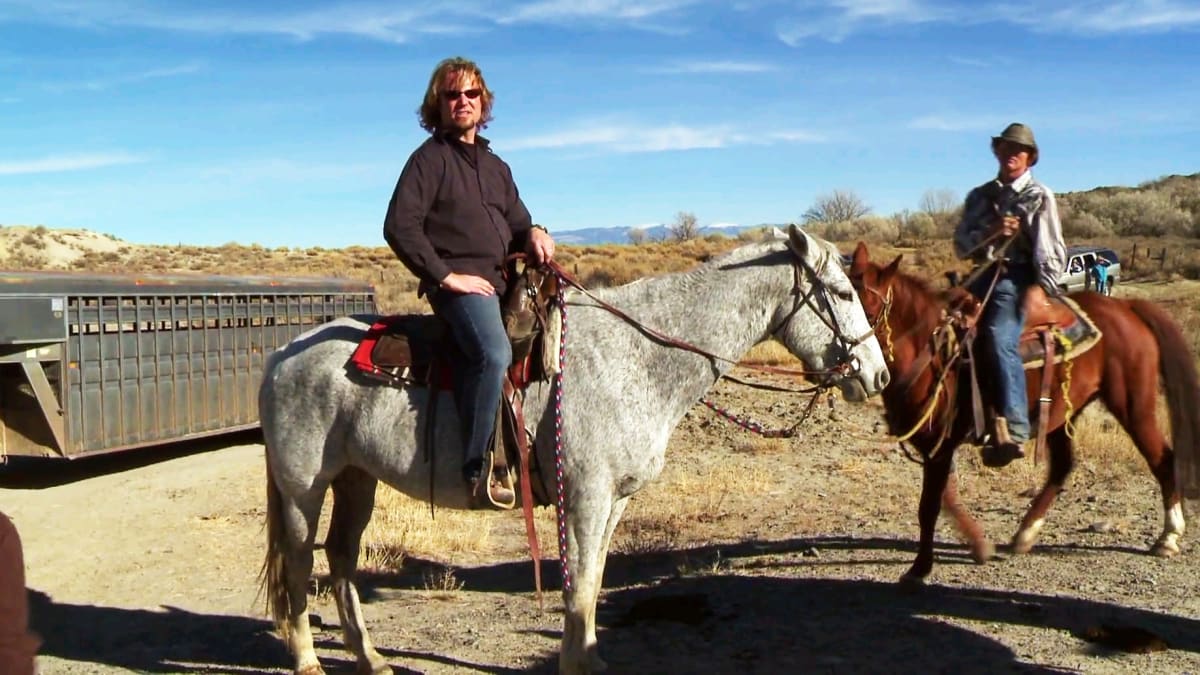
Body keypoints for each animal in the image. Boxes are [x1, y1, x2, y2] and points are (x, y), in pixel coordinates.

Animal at [258, 224, 888, 667]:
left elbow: (594, 580)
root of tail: (282, 354)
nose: (877, 375)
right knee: (297, 563)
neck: (638, 356)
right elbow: (580, 588)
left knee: (340, 559)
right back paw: (308, 660)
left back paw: (370, 658)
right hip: (302, 488)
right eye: (841, 291)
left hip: (355, 479)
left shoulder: (615, 501)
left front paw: (589, 659)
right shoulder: (584, 495)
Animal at [849, 242, 1200, 583]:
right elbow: (946, 498)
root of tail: (1128, 308)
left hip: (1133, 405)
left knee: (1162, 459)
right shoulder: (932, 446)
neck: (934, 353)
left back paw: (1168, 536)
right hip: (1063, 411)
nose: (848, 366)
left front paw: (920, 568)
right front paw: (979, 545)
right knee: (1062, 466)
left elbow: (930, 505)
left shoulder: (941, 445)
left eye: (866, 309)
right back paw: (1025, 533)